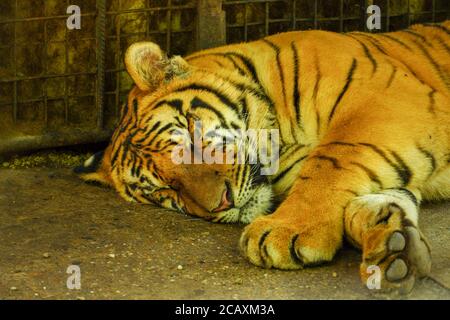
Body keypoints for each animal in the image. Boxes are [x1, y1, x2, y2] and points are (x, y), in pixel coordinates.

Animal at [75, 21, 450, 294]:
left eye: (191, 130)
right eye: (164, 191)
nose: (222, 203)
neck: (282, 136)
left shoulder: (385, 98)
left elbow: (333, 160)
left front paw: (286, 231)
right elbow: (366, 202)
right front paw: (395, 248)